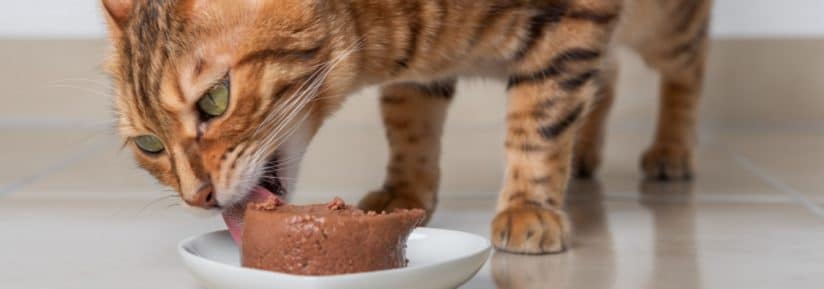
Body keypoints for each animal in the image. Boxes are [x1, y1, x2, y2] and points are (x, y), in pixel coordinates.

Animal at [101, 0, 708, 252]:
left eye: (216, 99)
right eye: (149, 145)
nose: (197, 196)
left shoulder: (573, 23)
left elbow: (537, 124)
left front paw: (527, 207)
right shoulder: (423, 66)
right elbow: (409, 124)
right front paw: (404, 192)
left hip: (660, 23)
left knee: (687, 63)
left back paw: (672, 150)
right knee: (608, 74)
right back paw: (586, 154)